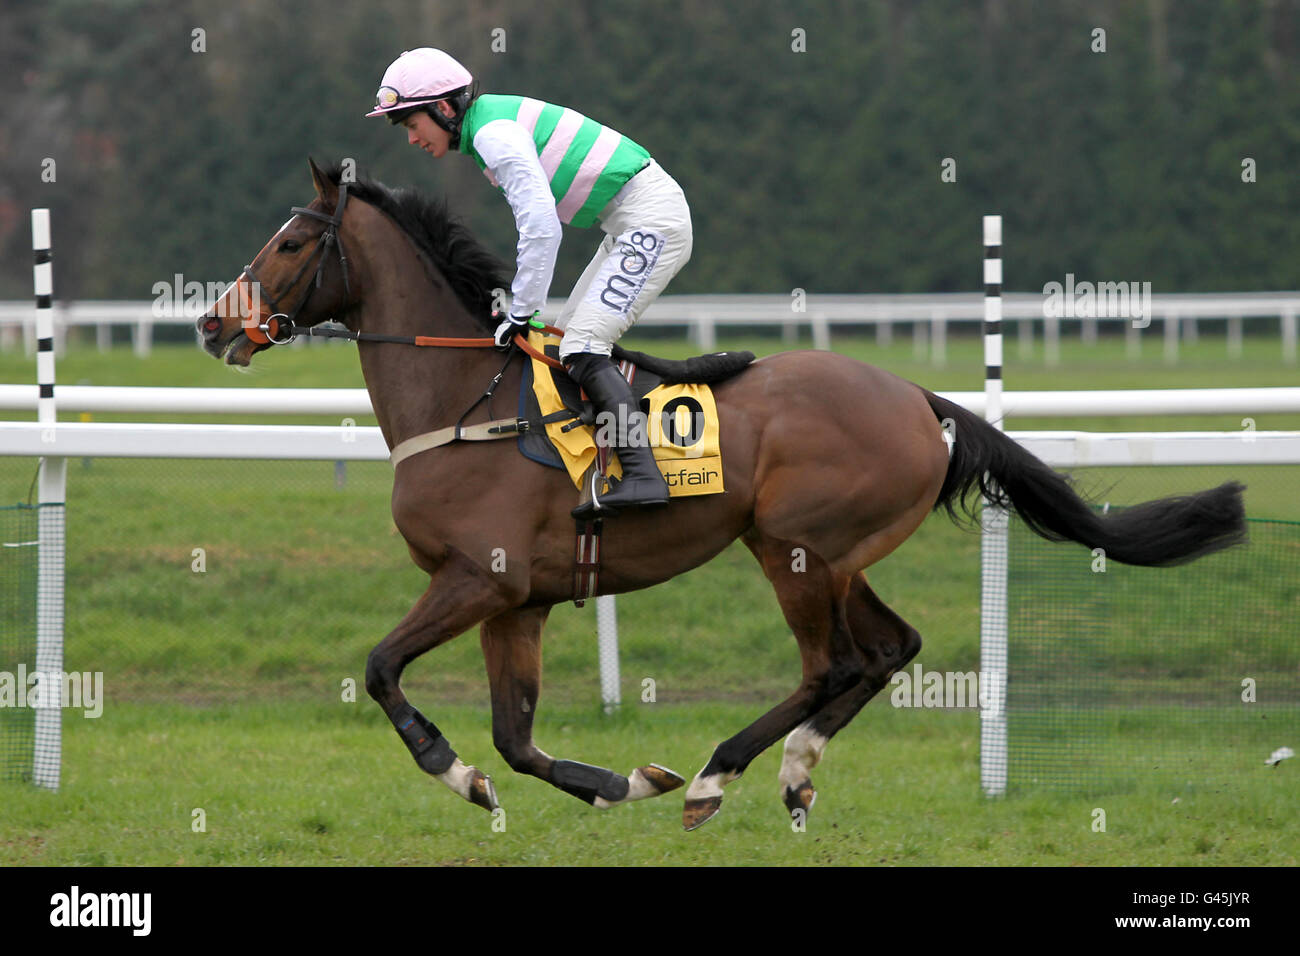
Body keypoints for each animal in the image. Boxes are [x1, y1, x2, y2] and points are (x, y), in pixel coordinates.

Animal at [195, 158, 1248, 832]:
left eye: (289, 242)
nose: (212, 326)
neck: (466, 397)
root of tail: (920, 397)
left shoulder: (479, 579)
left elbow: (382, 670)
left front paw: (460, 777)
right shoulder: (518, 601)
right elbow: (516, 738)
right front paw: (615, 784)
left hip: (793, 547)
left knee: (834, 663)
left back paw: (717, 774)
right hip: (831, 553)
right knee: (889, 648)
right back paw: (789, 774)